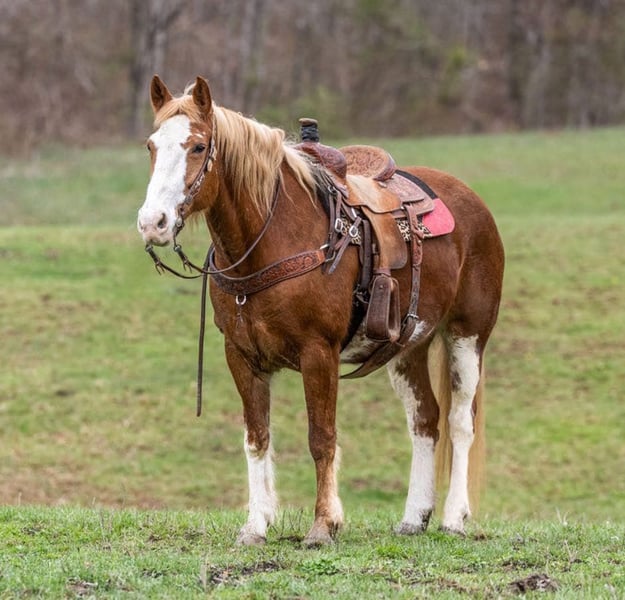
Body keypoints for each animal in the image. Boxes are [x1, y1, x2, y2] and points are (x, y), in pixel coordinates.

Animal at [137, 75, 504, 547]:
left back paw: (455, 517)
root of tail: (471, 202)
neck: (274, 239)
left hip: (467, 335)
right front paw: (256, 525)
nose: (153, 223)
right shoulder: (241, 356)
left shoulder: (319, 353)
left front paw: (323, 525)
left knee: (460, 421)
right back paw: (414, 517)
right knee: (425, 420)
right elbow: (257, 436)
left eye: (198, 146)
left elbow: (321, 438)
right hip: (407, 348)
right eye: (152, 145)